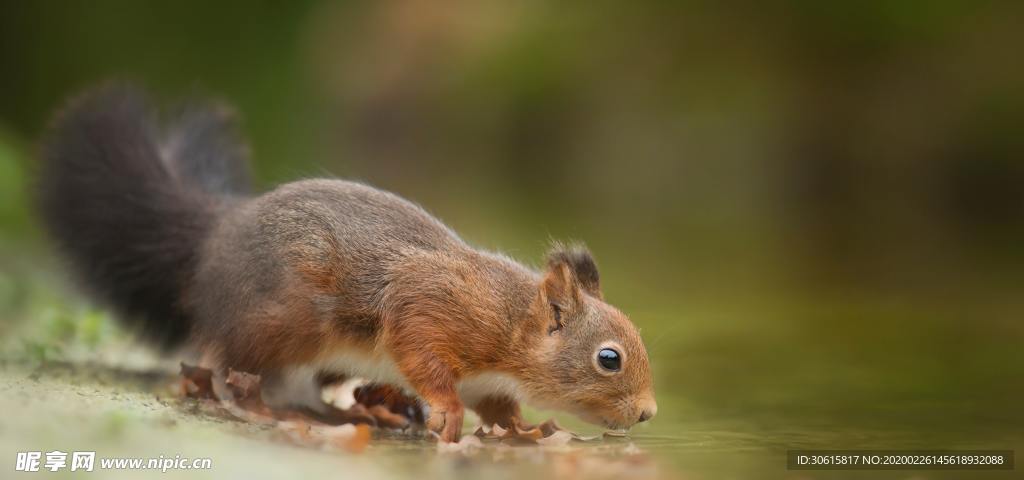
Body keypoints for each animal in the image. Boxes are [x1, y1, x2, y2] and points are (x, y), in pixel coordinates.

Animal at [36, 84, 659, 440]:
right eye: (609, 358)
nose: (649, 414)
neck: (512, 322)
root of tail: (216, 236)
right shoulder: (434, 306)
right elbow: (421, 349)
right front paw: (446, 410)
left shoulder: (490, 378)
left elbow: (499, 407)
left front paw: (523, 428)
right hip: (280, 323)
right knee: (229, 368)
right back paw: (271, 411)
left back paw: (375, 411)